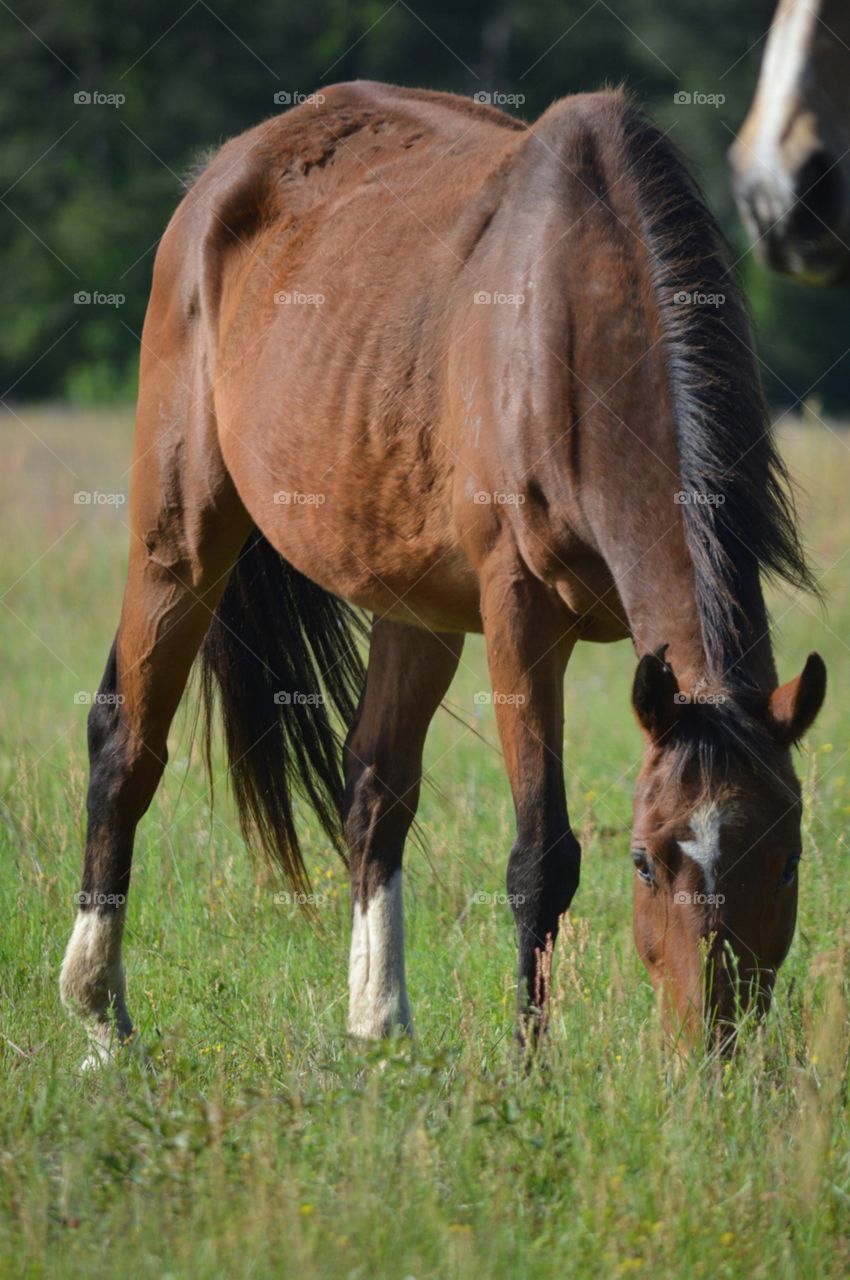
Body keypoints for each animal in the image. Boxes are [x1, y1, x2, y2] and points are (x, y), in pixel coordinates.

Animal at [60, 82, 826, 1066]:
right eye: (646, 859)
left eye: (789, 857)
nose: (711, 1048)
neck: (578, 323)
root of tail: (219, 177)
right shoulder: (520, 615)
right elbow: (542, 856)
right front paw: (530, 1066)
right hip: (180, 536)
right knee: (126, 744)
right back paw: (99, 1018)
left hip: (412, 602)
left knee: (374, 789)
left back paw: (377, 1022)